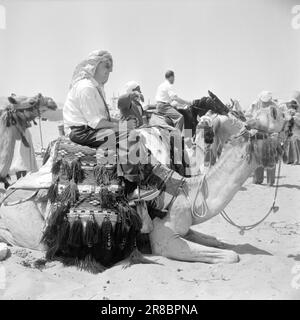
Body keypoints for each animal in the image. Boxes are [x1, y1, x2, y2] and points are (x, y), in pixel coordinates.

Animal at [0, 104, 288, 264]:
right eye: (272, 116)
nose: (285, 115)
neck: (187, 192)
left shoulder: (185, 226)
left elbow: (214, 240)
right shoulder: (165, 238)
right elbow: (231, 255)